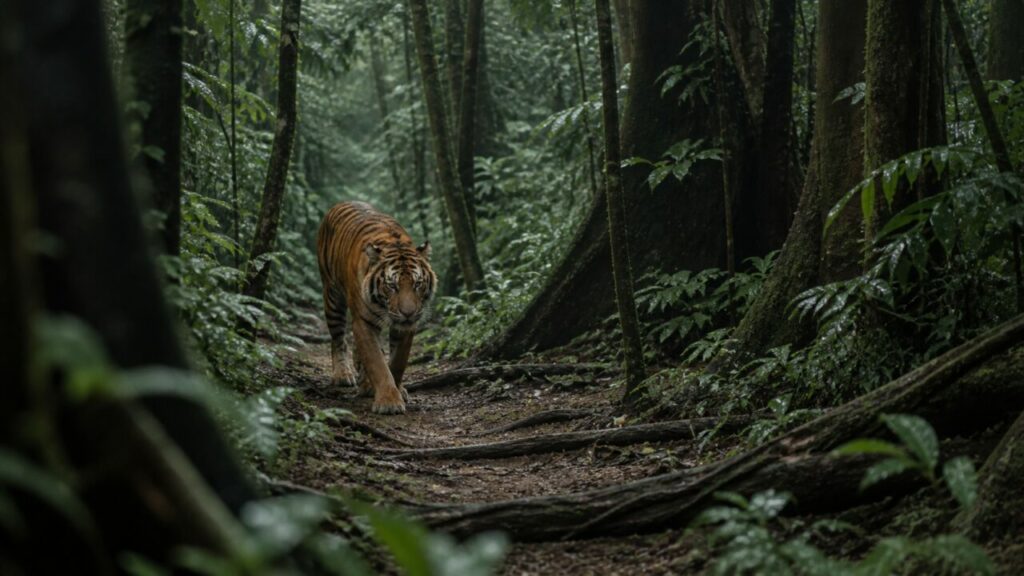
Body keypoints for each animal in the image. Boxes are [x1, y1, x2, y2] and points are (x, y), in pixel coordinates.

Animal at [316, 201, 436, 414]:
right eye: (392, 285)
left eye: (417, 284)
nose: (408, 313)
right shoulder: (363, 322)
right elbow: (377, 362)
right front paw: (389, 401)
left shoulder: (406, 327)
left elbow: (397, 361)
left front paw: (397, 389)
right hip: (332, 297)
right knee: (337, 339)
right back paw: (343, 375)